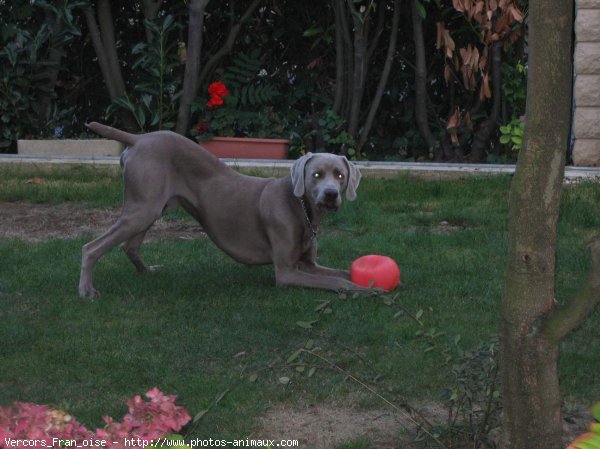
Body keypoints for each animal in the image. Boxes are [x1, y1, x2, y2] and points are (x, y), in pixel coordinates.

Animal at [79, 122, 370, 298]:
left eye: (341, 176)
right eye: (316, 174)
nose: (331, 195)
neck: (301, 208)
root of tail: (137, 138)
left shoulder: (308, 263)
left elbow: (340, 272)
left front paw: (366, 281)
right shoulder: (286, 272)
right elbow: (336, 282)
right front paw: (361, 290)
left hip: (151, 207)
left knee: (130, 245)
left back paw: (147, 271)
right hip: (142, 209)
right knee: (91, 247)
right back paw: (87, 290)